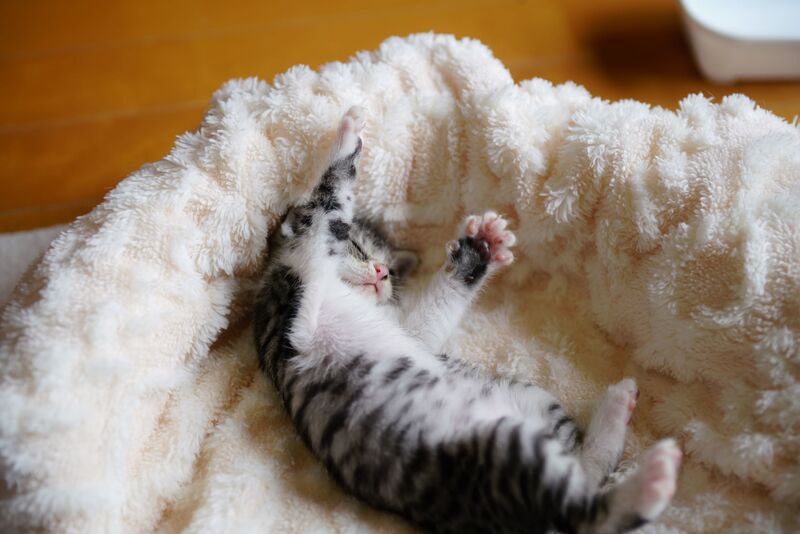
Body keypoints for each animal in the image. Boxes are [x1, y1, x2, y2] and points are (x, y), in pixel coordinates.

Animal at [253, 106, 681, 534]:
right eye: (357, 247)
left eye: (392, 273)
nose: (380, 272)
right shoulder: (295, 300)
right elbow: (327, 208)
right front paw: (345, 140)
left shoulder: (407, 330)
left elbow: (429, 318)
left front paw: (479, 250)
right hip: (502, 455)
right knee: (582, 515)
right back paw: (652, 479)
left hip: (535, 400)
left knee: (585, 477)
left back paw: (619, 417)